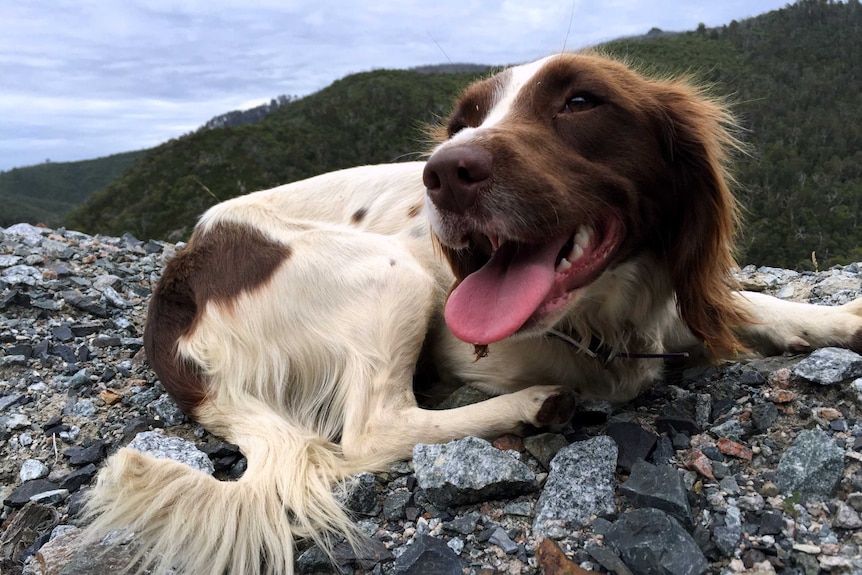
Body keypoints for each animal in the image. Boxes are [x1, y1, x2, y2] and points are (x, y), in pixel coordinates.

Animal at [81, 51, 862, 572]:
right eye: (465, 120)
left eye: (582, 102)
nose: (444, 172)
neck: (616, 307)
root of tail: (175, 295)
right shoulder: (476, 339)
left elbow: (754, 304)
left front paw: (843, 317)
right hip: (393, 277)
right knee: (372, 430)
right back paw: (533, 405)